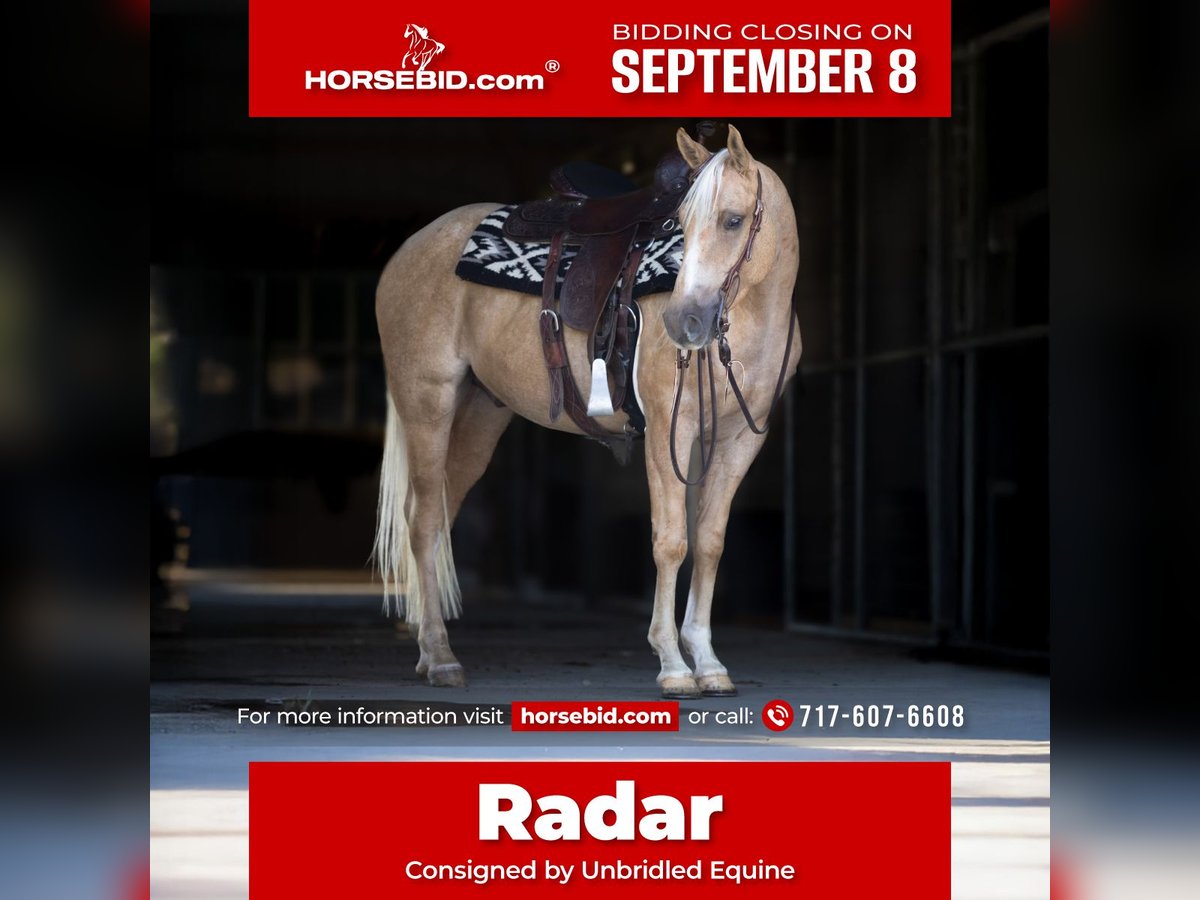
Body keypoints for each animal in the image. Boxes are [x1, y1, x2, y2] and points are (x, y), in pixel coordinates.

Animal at [372, 125, 801, 698]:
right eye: (680, 225)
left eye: (733, 220)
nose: (683, 322)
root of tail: (407, 249)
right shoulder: (667, 429)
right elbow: (671, 542)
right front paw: (672, 664)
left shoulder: (739, 440)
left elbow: (709, 542)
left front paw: (709, 663)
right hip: (427, 401)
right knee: (420, 522)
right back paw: (440, 657)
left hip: (480, 415)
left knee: (439, 515)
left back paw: (427, 648)